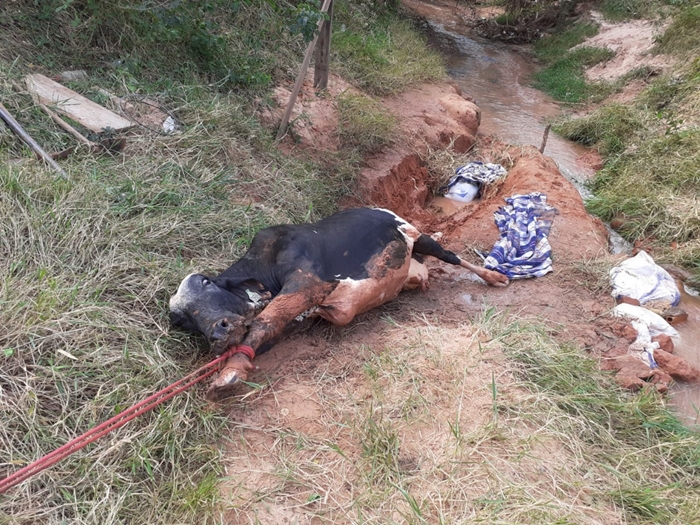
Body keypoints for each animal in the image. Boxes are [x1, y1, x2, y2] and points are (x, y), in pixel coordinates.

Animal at [170, 207, 508, 400]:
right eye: (180, 320)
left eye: (206, 282)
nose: (218, 331)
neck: (263, 265)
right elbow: (264, 330)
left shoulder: (307, 283)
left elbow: (265, 321)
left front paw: (230, 374)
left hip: (417, 235)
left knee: (452, 256)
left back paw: (493, 276)